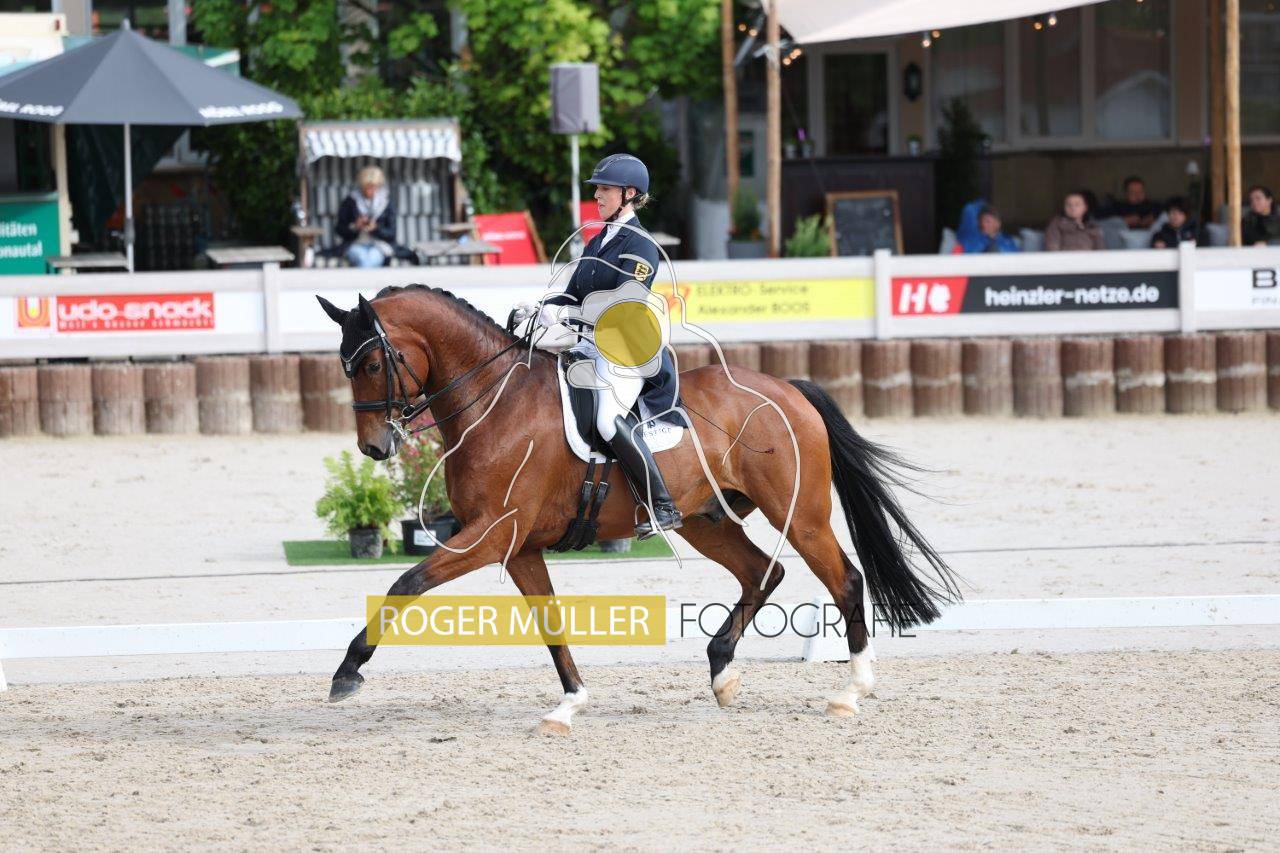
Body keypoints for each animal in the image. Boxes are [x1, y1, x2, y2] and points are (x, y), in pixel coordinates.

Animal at [316, 285, 960, 734]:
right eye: (345, 367)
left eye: (371, 364)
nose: (374, 448)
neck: (496, 401)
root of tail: (787, 389)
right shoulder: (518, 547)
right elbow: (550, 623)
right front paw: (569, 705)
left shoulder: (489, 535)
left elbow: (404, 584)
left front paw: (348, 671)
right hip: (707, 521)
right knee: (764, 571)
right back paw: (723, 674)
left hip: (798, 515)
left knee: (844, 579)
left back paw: (852, 692)